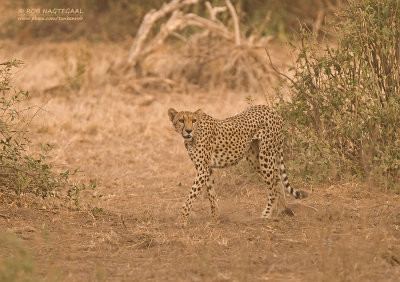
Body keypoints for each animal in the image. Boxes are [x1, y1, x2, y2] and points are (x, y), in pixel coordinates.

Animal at [167, 106, 308, 227]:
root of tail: (270, 109)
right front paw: (214, 219)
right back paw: (281, 209)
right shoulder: (207, 169)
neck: (194, 135)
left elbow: (190, 197)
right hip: (255, 158)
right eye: (181, 120)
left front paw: (181, 222)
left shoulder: (203, 170)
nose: (188, 131)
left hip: (265, 156)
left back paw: (268, 214)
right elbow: (211, 195)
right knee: (277, 175)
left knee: (273, 186)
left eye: (194, 120)